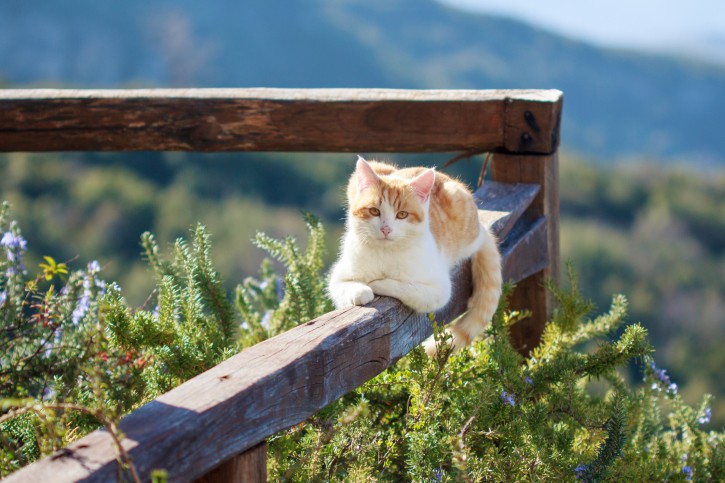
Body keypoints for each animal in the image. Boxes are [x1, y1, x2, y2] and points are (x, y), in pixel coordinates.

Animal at [330, 156, 504, 356]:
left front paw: (377, 283)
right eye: (374, 211)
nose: (385, 229)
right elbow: (344, 286)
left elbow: (403, 286)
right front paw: (361, 291)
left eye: (402, 215)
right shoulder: (338, 277)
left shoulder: (438, 290)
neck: (386, 252)